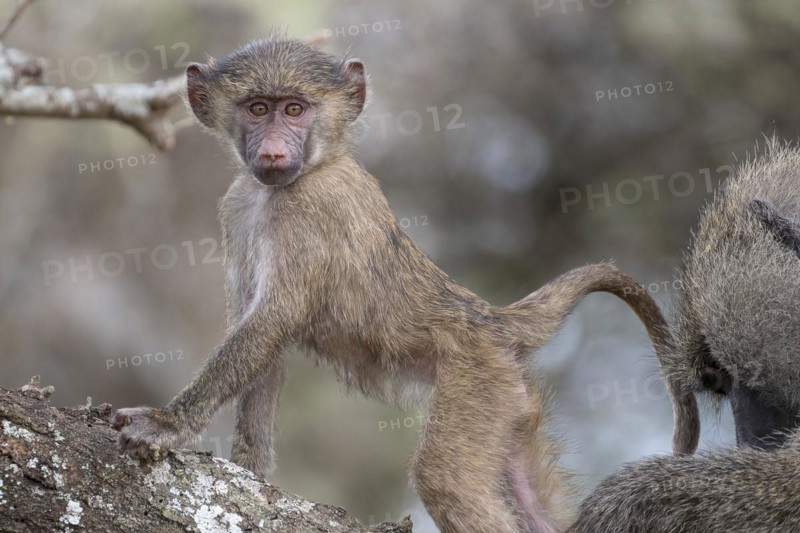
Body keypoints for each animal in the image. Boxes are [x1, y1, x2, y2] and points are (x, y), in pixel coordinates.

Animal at [110, 38, 698, 533]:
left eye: (294, 109)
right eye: (258, 108)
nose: (273, 150)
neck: (298, 178)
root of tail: (489, 317)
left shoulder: (309, 210)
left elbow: (269, 324)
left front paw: (166, 423)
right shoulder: (236, 209)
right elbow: (261, 348)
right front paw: (251, 471)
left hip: (474, 376)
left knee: (445, 477)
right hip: (510, 396)